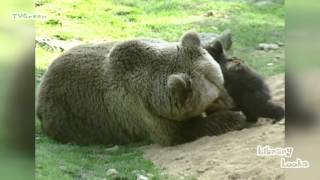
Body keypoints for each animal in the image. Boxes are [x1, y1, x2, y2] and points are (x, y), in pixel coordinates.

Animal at [35, 31, 245, 146]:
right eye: (214, 99)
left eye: (222, 83)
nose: (233, 103)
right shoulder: (139, 110)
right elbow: (178, 133)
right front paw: (235, 117)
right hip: (65, 114)